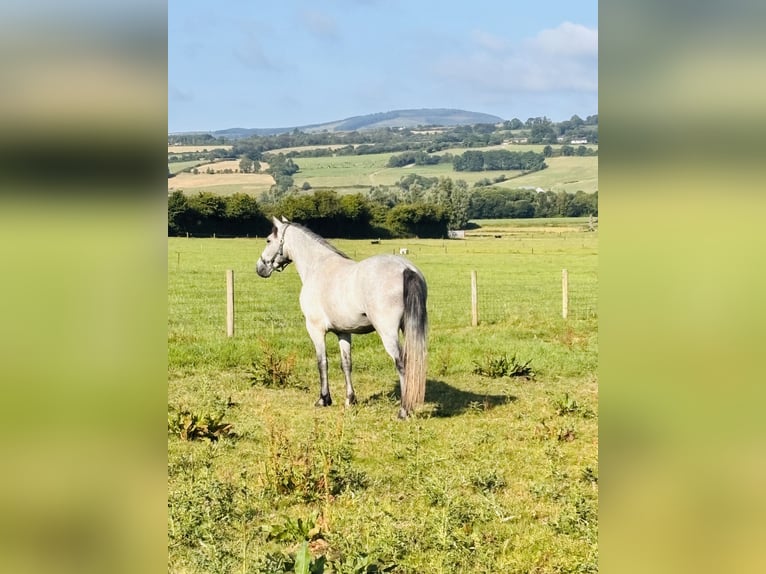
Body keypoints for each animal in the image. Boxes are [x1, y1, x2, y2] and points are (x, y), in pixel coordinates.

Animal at [255, 217, 428, 419]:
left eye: (268, 240)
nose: (260, 268)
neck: (317, 265)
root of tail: (406, 268)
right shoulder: (344, 332)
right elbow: (346, 364)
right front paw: (350, 400)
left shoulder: (315, 330)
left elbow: (322, 362)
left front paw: (324, 399)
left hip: (388, 333)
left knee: (402, 364)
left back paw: (403, 411)